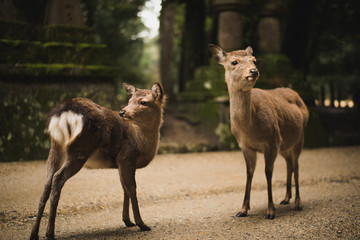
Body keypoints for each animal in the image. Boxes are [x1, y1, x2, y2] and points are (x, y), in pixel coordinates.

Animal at [30, 81, 165, 239]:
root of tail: (64, 112)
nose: (122, 112)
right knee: (58, 178)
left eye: (143, 102)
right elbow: (132, 188)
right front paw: (142, 224)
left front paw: (127, 221)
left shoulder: (120, 162)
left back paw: (34, 233)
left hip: (55, 147)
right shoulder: (126, 157)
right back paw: (49, 233)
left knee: (47, 183)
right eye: (130, 100)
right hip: (80, 149)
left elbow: (124, 187)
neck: (141, 142)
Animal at [208, 44, 310, 219]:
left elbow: (268, 172)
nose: (253, 71)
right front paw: (243, 210)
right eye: (234, 62)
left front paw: (270, 211)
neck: (251, 130)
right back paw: (286, 198)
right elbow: (249, 173)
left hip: (299, 137)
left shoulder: (272, 141)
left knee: (296, 165)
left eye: (254, 60)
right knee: (289, 163)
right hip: (285, 144)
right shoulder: (245, 146)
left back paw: (297, 203)